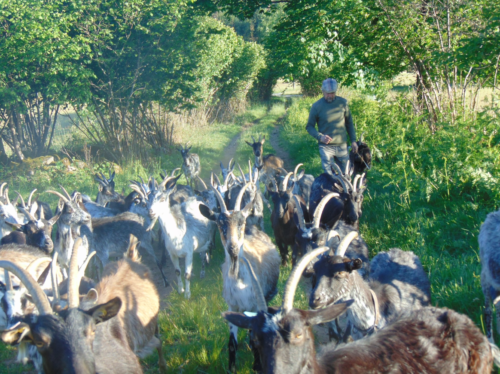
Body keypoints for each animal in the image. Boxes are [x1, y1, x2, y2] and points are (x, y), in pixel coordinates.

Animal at [198, 180, 282, 372]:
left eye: (241, 222)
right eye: (219, 223)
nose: (233, 248)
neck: (240, 280)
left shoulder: (255, 305)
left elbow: (254, 335)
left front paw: (257, 366)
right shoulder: (233, 305)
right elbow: (232, 344)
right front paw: (232, 368)